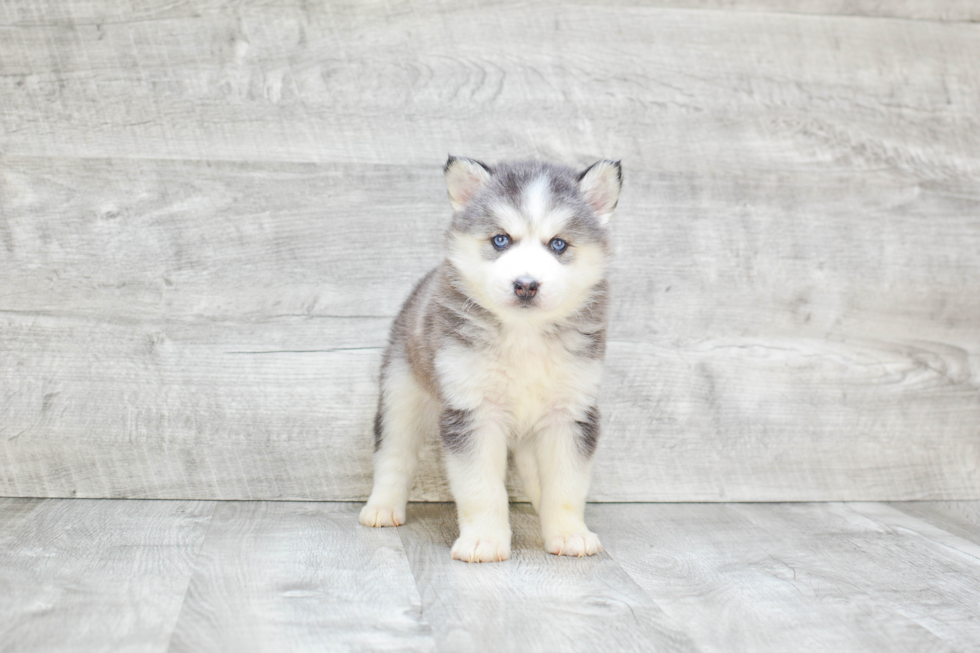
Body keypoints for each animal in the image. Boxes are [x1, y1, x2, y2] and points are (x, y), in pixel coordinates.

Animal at [358, 154, 620, 560]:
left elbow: (566, 484)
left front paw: (569, 533)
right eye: (501, 239)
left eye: (558, 244)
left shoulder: (570, 413)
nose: (526, 285)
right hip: (401, 393)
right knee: (393, 454)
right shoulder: (473, 412)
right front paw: (483, 540)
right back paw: (382, 507)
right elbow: (481, 488)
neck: (524, 334)